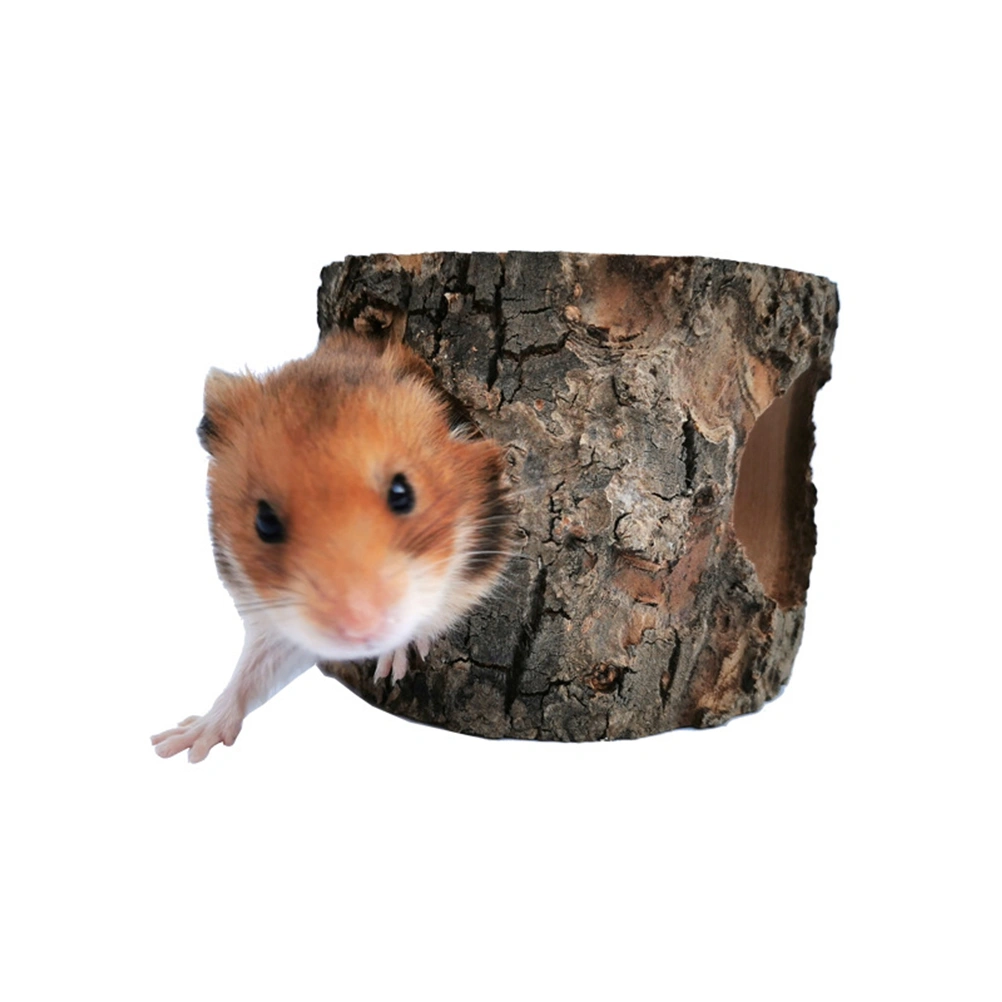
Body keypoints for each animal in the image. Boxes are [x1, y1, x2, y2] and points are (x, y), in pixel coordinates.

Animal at [152, 329, 512, 763]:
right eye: (264, 521)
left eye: (402, 493)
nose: (360, 629)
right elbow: (253, 670)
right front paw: (176, 745)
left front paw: (393, 665)